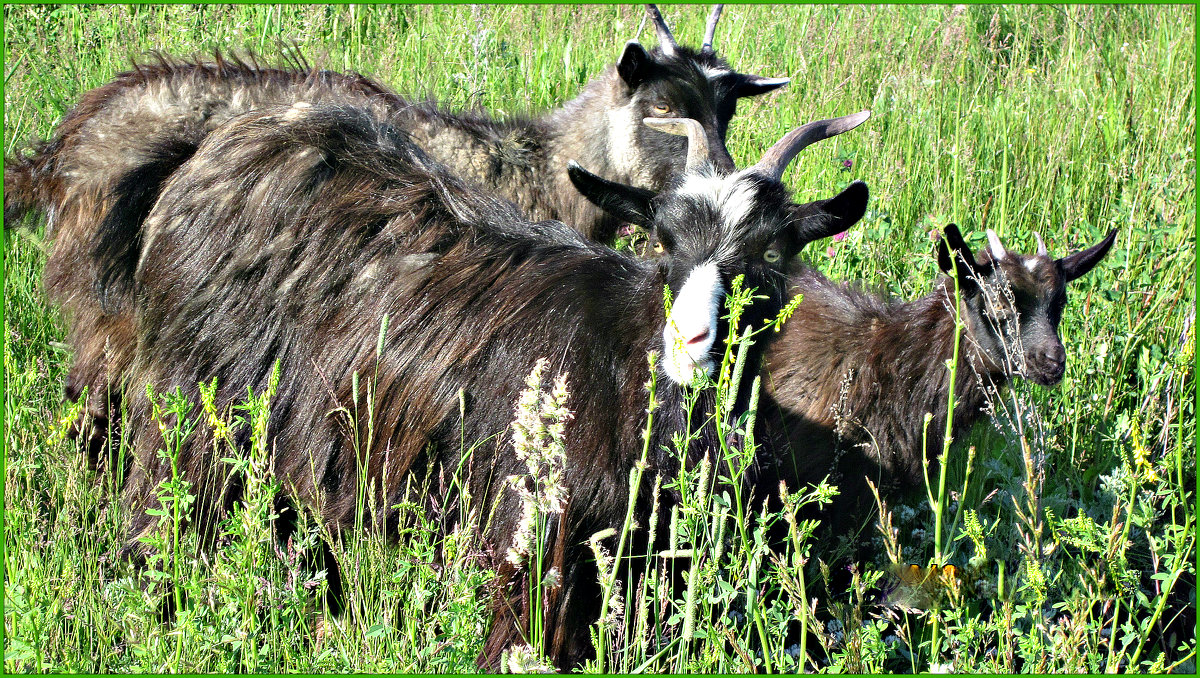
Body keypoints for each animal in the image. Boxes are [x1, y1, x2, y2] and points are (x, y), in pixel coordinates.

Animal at [7, 3, 787, 460]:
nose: (726, 179)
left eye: (727, 109)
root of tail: (60, 152)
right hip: (115, 312)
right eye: (662, 108)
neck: (540, 168)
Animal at [117, 103, 868, 667]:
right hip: (193, 410)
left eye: (770, 255)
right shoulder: (532, 540)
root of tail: (209, 154)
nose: (689, 341)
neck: (624, 366)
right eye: (665, 242)